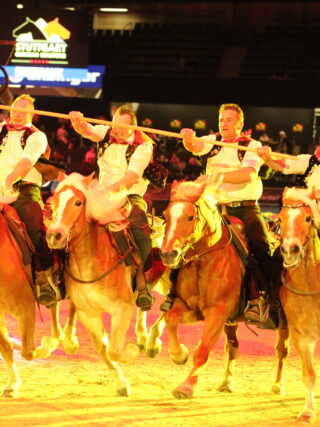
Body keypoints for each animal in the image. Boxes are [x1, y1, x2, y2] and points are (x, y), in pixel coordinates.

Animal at [159, 181, 288, 402]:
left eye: (190, 217)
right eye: (166, 215)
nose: (168, 254)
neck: (204, 259)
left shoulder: (217, 312)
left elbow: (203, 350)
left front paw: (186, 386)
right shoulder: (188, 308)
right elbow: (171, 319)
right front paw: (179, 354)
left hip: (283, 319)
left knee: (281, 350)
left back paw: (278, 385)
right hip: (232, 321)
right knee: (233, 346)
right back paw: (227, 382)